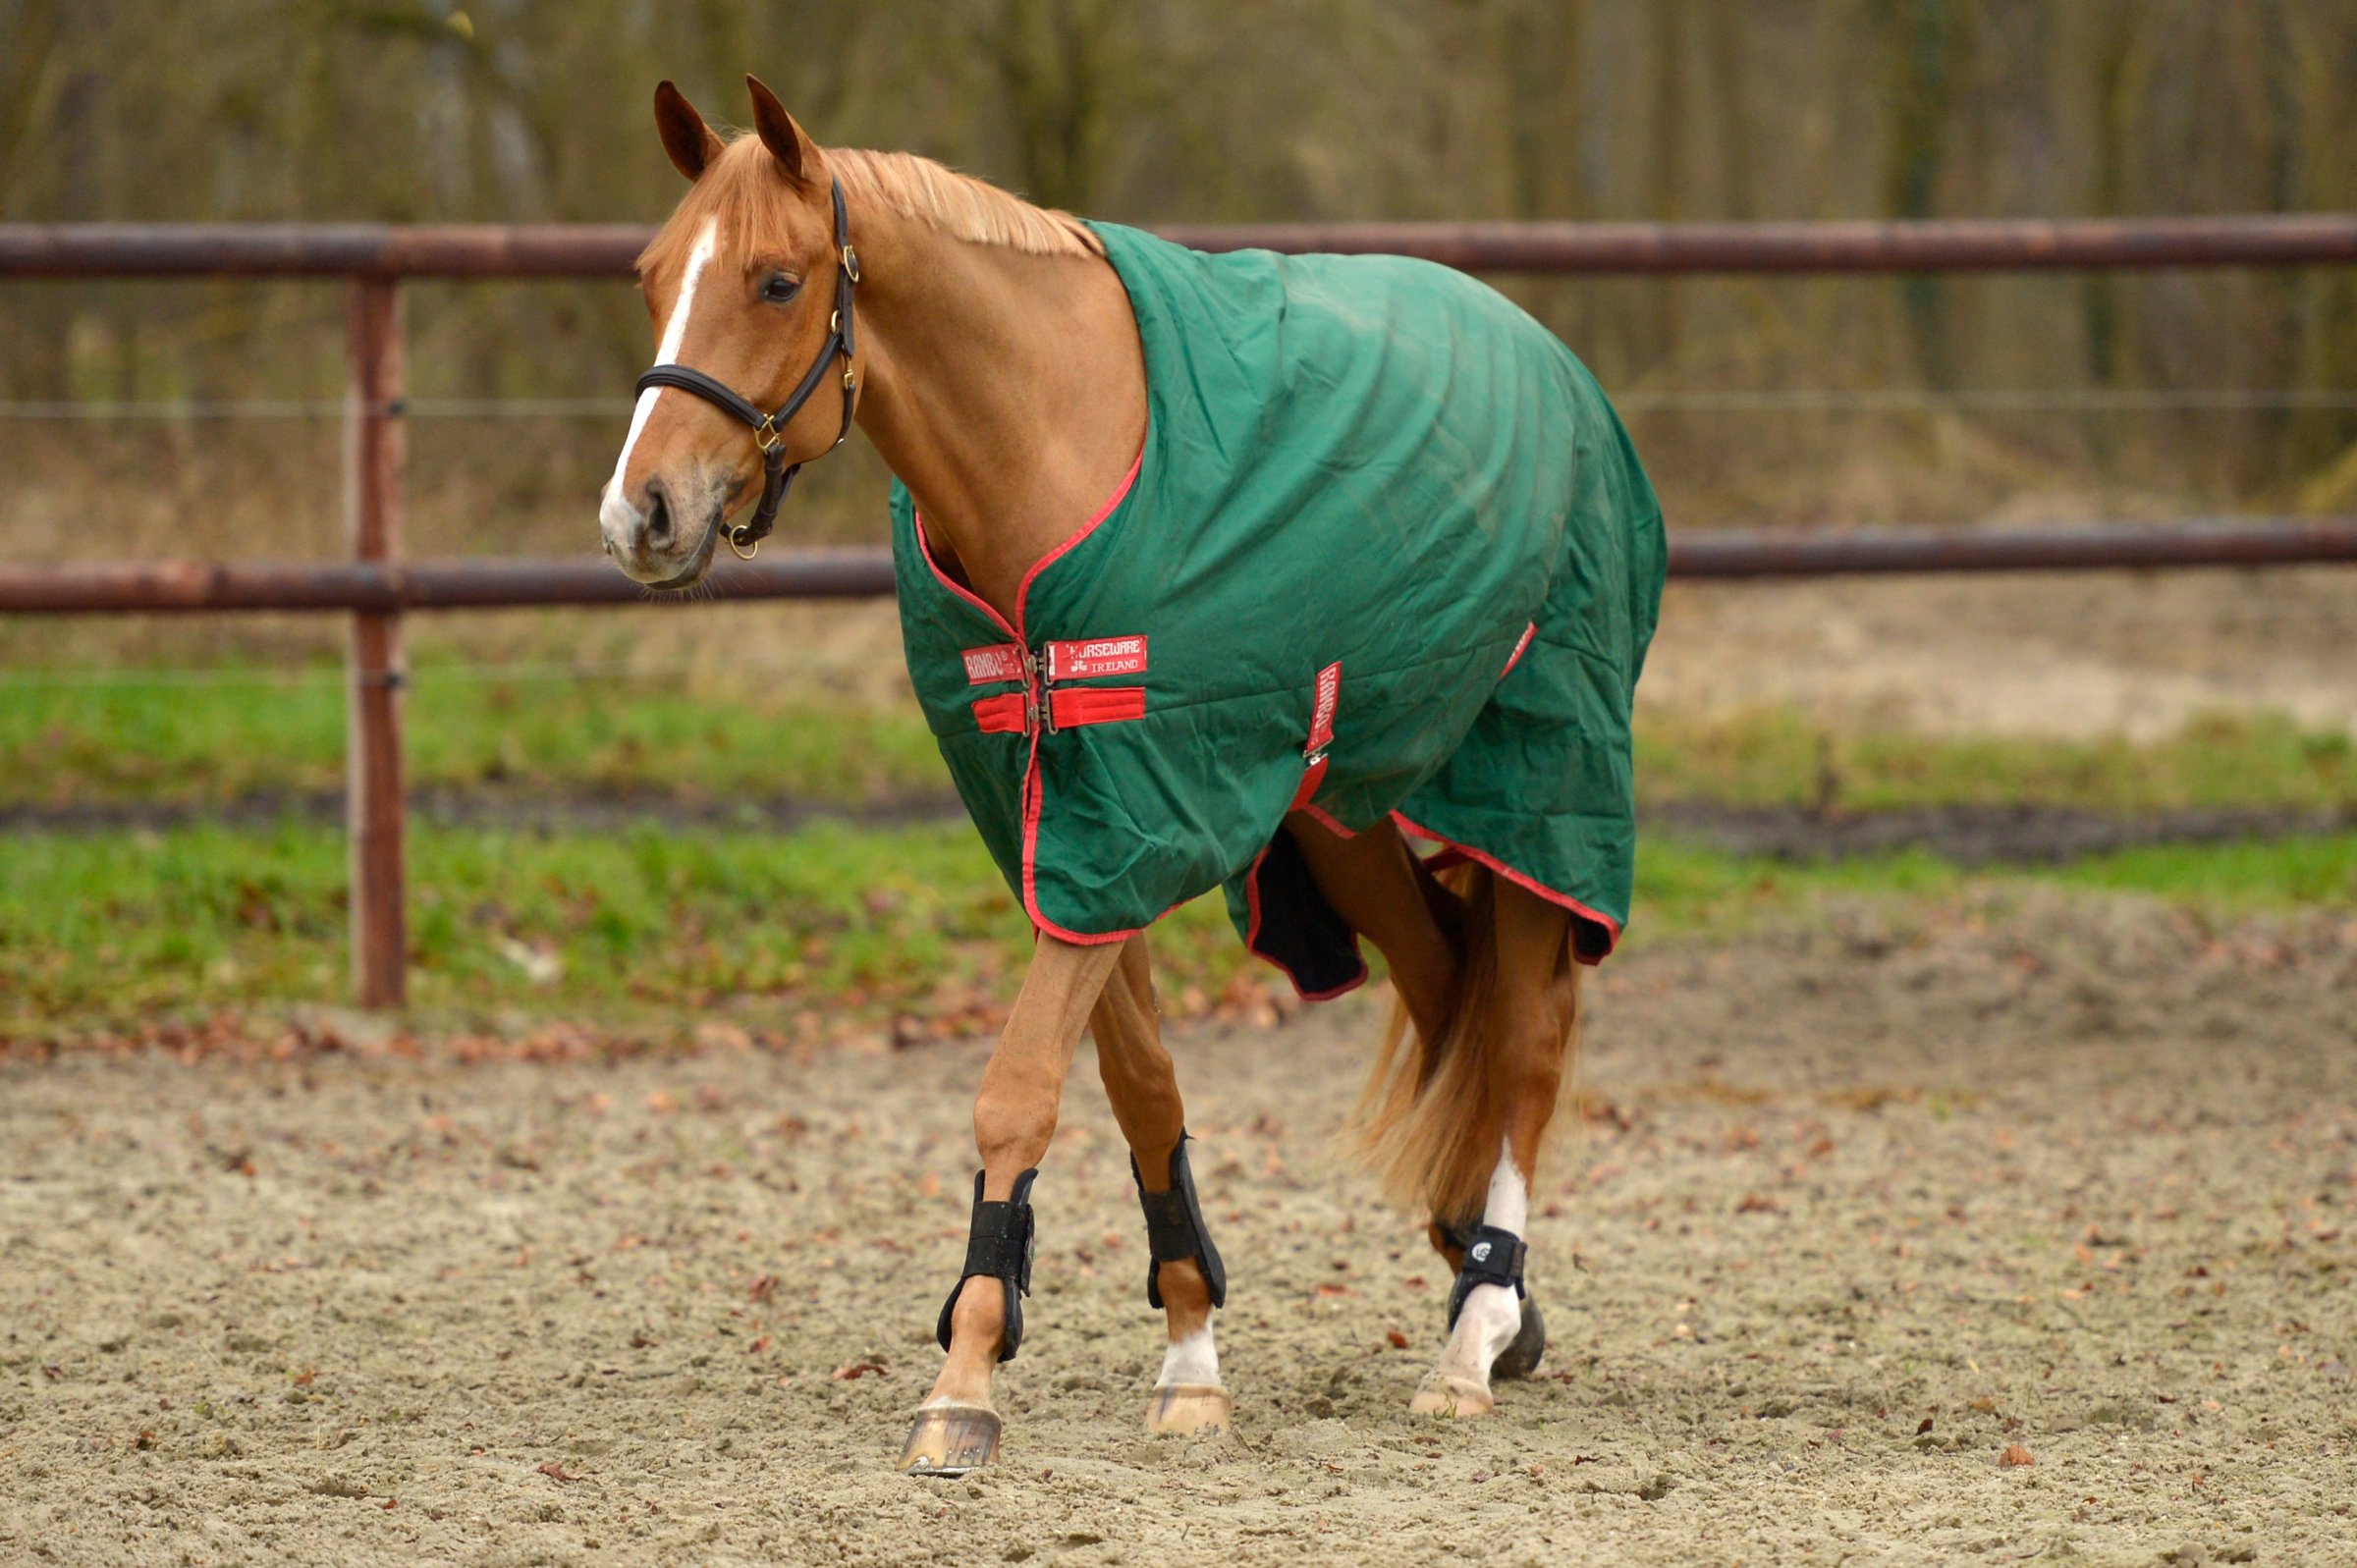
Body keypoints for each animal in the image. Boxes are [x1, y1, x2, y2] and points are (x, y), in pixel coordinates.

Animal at [598, 77, 1665, 1477]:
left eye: (776, 282)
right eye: (652, 274)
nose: (641, 515)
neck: (1051, 450)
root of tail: (1552, 362)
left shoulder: (1130, 821)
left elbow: (1019, 1093)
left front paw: (965, 1380)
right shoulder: (1065, 830)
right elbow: (1139, 1085)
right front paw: (1190, 1357)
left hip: (1540, 783)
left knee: (1529, 1042)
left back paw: (1473, 1338)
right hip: (1336, 816)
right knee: (1450, 997)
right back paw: (1481, 1277)